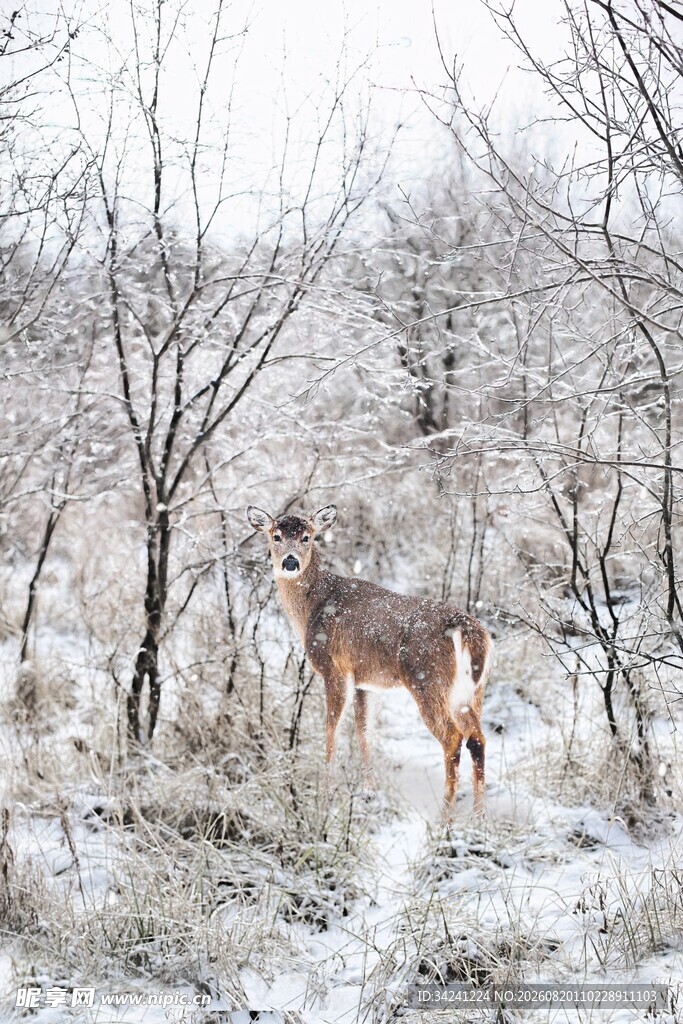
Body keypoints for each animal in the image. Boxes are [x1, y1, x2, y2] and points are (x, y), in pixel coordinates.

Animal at [246, 503, 492, 819]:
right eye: (276, 536)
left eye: (307, 537)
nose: (290, 563)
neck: (312, 608)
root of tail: (468, 630)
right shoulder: (365, 680)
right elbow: (363, 731)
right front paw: (367, 792)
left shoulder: (334, 668)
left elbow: (332, 729)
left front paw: (326, 795)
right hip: (471, 690)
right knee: (477, 738)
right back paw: (478, 817)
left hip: (428, 680)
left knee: (452, 738)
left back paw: (444, 817)